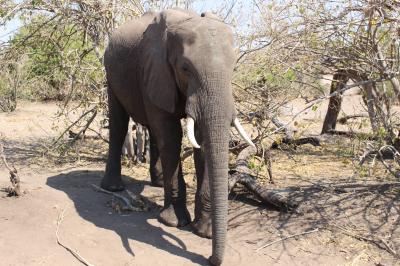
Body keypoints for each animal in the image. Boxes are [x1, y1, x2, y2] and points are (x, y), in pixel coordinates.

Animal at [101, 9, 255, 264]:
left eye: (233, 67)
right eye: (185, 68)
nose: (210, 259)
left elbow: (201, 139)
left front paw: (203, 231)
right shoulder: (155, 69)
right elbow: (171, 135)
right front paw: (173, 222)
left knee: (152, 130)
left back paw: (157, 182)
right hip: (111, 74)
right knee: (119, 123)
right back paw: (113, 188)